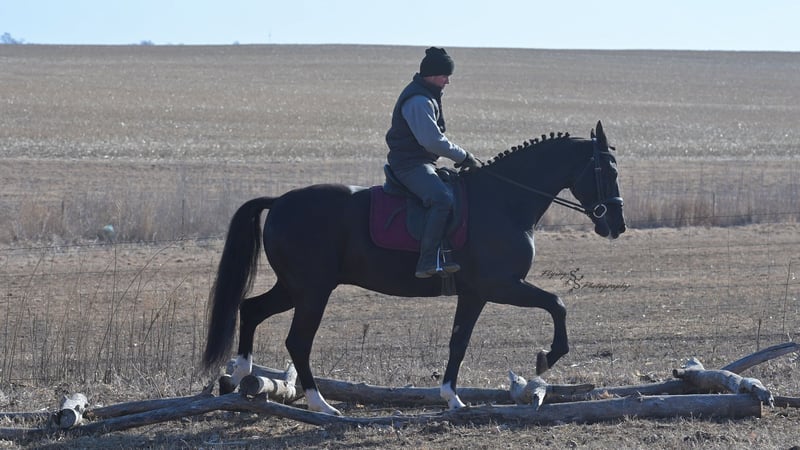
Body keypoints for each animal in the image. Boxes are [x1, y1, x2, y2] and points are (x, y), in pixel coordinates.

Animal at [203, 121, 625, 415]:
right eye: (607, 171)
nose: (617, 225)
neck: (504, 200)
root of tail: (280, 202)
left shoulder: (474, 294)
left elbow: (459, 341)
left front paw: (452, 398)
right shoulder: (502, 285)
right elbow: (557, 304)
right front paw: (545, 359)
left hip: (295, 288)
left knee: (251, 309)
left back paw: (238, 374)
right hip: (312, 291)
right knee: (297, 341)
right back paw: (320, 404)